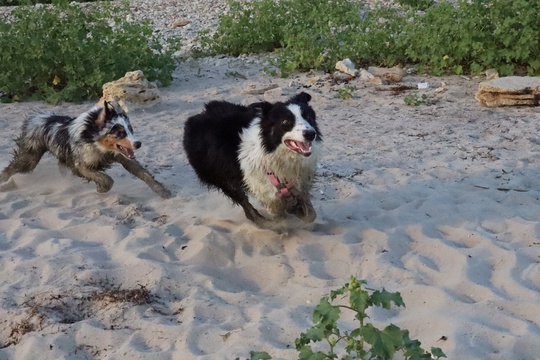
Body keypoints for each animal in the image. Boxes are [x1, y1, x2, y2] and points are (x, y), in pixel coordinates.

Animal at [0, 100, 171, 200]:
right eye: (120, 133)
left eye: (130, 130)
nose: (138, 143)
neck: (97, 142)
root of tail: (36, 116)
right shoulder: (80, 165)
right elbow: (106, 178)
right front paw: (101, 188)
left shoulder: (124, 157)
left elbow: (144, 174)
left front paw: (162, 191)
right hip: (30, 157)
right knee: (12, 168)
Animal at [184, 93, 322, 228]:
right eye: (285, 121)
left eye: (308, 117)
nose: (310, 134)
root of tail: (197, 117)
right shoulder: (266, 193)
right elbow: (281, 217)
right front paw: (284, 220)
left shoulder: (301, 184)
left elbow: (311, 214)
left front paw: (296, 209)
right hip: (223, 178)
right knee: (247, 208)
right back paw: (264, 222)